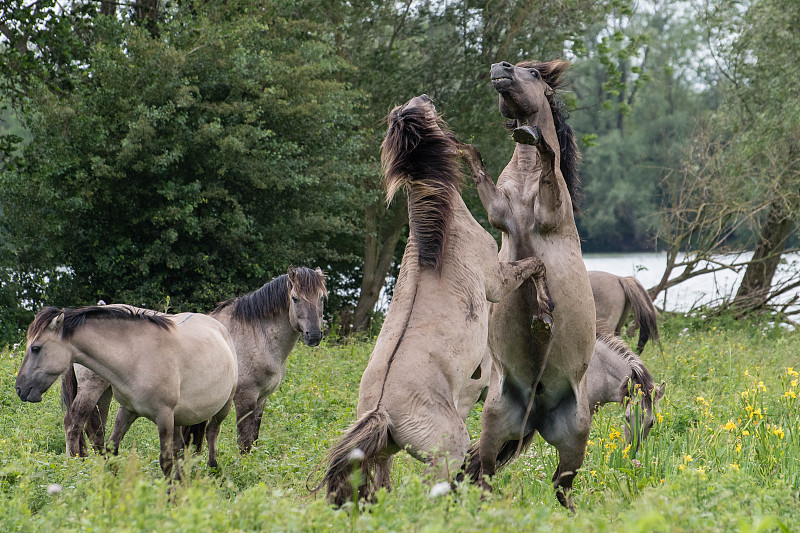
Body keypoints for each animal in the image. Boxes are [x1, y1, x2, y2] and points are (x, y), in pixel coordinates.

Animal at [15, 306, 236, 476]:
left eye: (35, 348)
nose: (19, 388)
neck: (138, 357)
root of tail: (219, 327)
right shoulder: (128, 410)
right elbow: (111, 449)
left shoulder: (164, 416)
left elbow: (166, 461)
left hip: (223, 406)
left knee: (212, 432)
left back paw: (213, 468)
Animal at [58, 266, 328, 458]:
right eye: (295, 298)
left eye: (322, 299)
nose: (314, 336)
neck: (254, 333)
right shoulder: (245, 396)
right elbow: (243, 439)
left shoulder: (261, 398)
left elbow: (253, 437)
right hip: (92, 387)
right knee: (74, 423)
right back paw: (75, 465)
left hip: (105, 390)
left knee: (96, 428)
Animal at [316, 95, 552, 508]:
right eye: (424, 112)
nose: (426, 98)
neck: (439, 245)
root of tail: (382, 411)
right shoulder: (496, 281)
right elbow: (534, 265)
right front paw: (543, 311)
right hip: (448, 448)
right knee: (435, 489)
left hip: (384, 453)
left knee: (380, 485)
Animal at [460, 59, 596, 512]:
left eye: (534, 74)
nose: (499, 68)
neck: (524, 182)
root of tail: (536, 412)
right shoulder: (498, 212)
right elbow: (478, 170)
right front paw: (462, 147)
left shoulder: (550, 211)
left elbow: (551, 158)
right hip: (494, 421)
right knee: (484, 472)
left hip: (576, 436)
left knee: (561, 486)